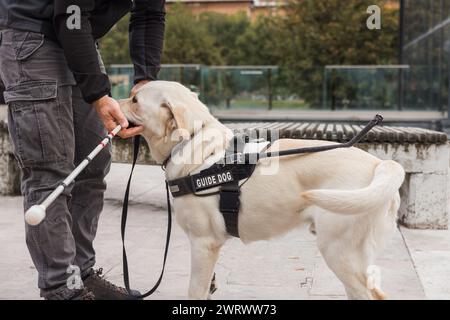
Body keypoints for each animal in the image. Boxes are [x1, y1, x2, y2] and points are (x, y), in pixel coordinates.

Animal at [118, 80, 404, 300]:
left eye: (135, 100)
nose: (112, 103)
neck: (193, 142)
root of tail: (381, 164)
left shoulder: (203, 244)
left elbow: (195, 292)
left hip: (339, 251)